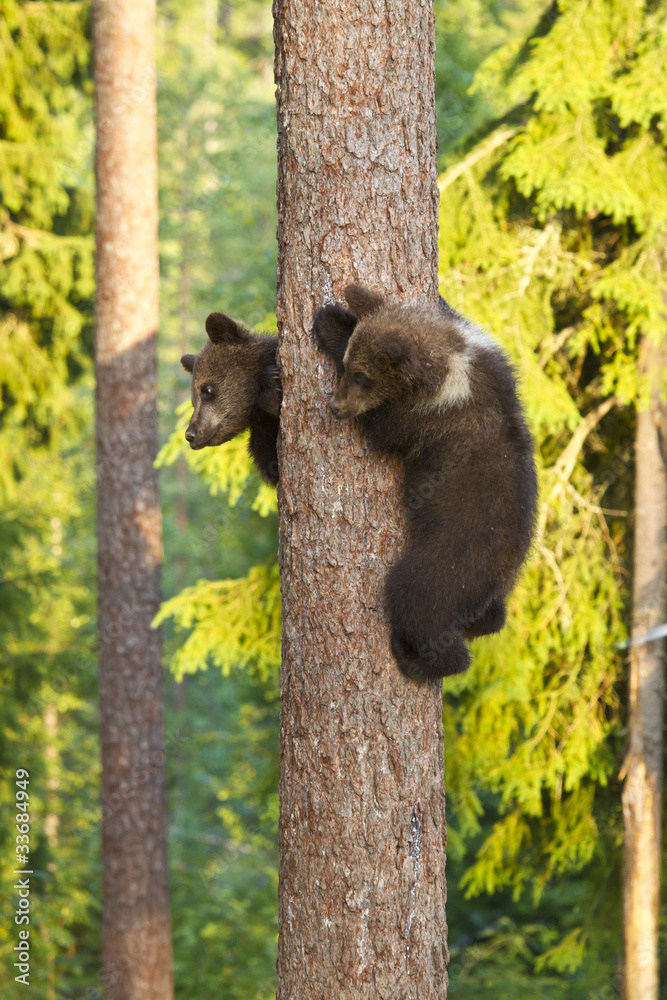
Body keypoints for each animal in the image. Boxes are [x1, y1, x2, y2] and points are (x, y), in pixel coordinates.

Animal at [313, 283, 537, 681]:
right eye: (353, 369)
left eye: (362, 376)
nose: (336, 406)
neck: (449, 366)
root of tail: (501, 579)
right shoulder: (491, 358)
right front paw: (336, 314)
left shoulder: (430, 418)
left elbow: (385, 426)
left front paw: (330, 325)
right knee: (490, 620)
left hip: (451, 565)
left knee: (416, 599)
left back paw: (415, 658)